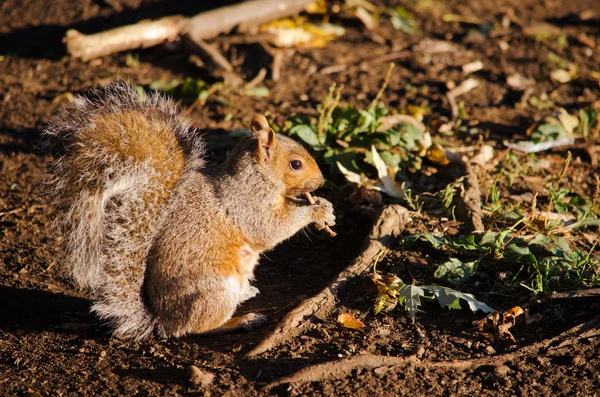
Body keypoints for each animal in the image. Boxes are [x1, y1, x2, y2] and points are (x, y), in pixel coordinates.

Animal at [45, 82, 338, 338]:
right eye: (296, 164)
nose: (321, 181)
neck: (258, 177)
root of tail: (162, 319)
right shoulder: (247, 204)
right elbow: (270, 228)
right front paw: (316, 211)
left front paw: (325, 206)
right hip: (214, 291)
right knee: (197, 328)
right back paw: (241, 320)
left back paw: (247, 293)